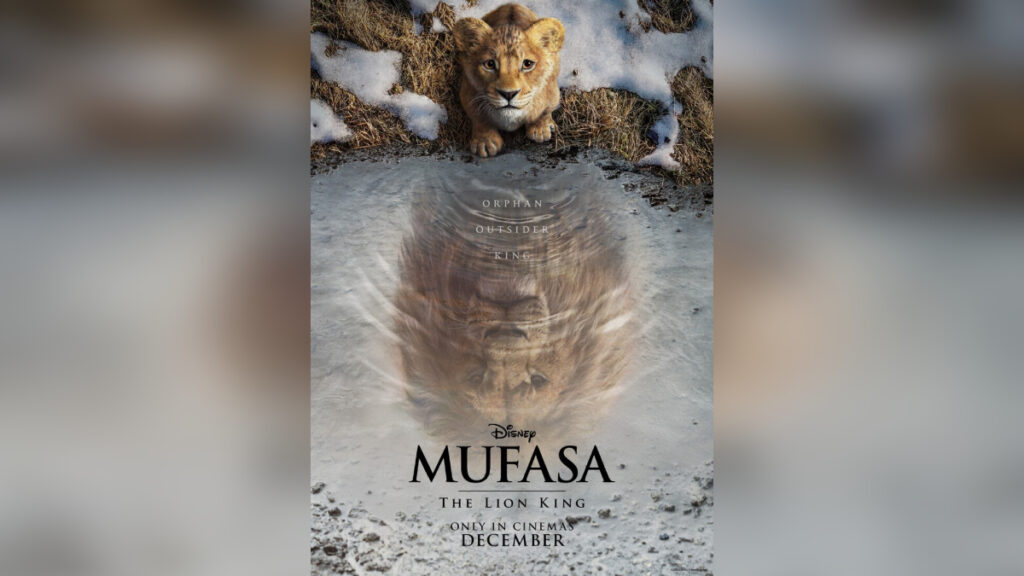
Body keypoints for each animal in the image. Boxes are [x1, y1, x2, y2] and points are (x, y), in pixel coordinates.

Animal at [453, 4, 565, 157]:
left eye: (527, 64)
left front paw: (540, 128)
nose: (508, 94)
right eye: (489, 64)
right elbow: (479, 118)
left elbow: (545, 111)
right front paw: (485, 142)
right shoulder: (468, 93)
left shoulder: (552, 92)